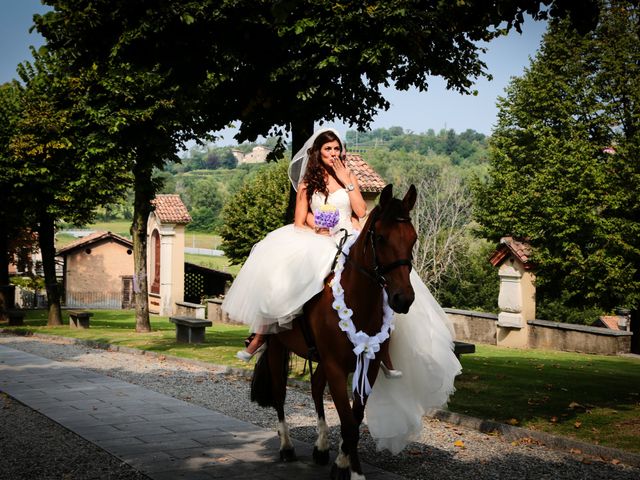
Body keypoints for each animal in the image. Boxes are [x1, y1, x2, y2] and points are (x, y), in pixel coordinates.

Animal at [248, 185, 418, 480]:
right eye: (381, 238)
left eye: (413, 239)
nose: (403, 299)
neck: (359, 300)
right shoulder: (336, 367)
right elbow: (348, 422)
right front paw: (353, 471)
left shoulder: (369, 366)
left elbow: (355, 418)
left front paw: (342, 462)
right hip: (278, 346)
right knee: (280, 393)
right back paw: (287, 447)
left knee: (316, 388)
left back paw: (321, 447)